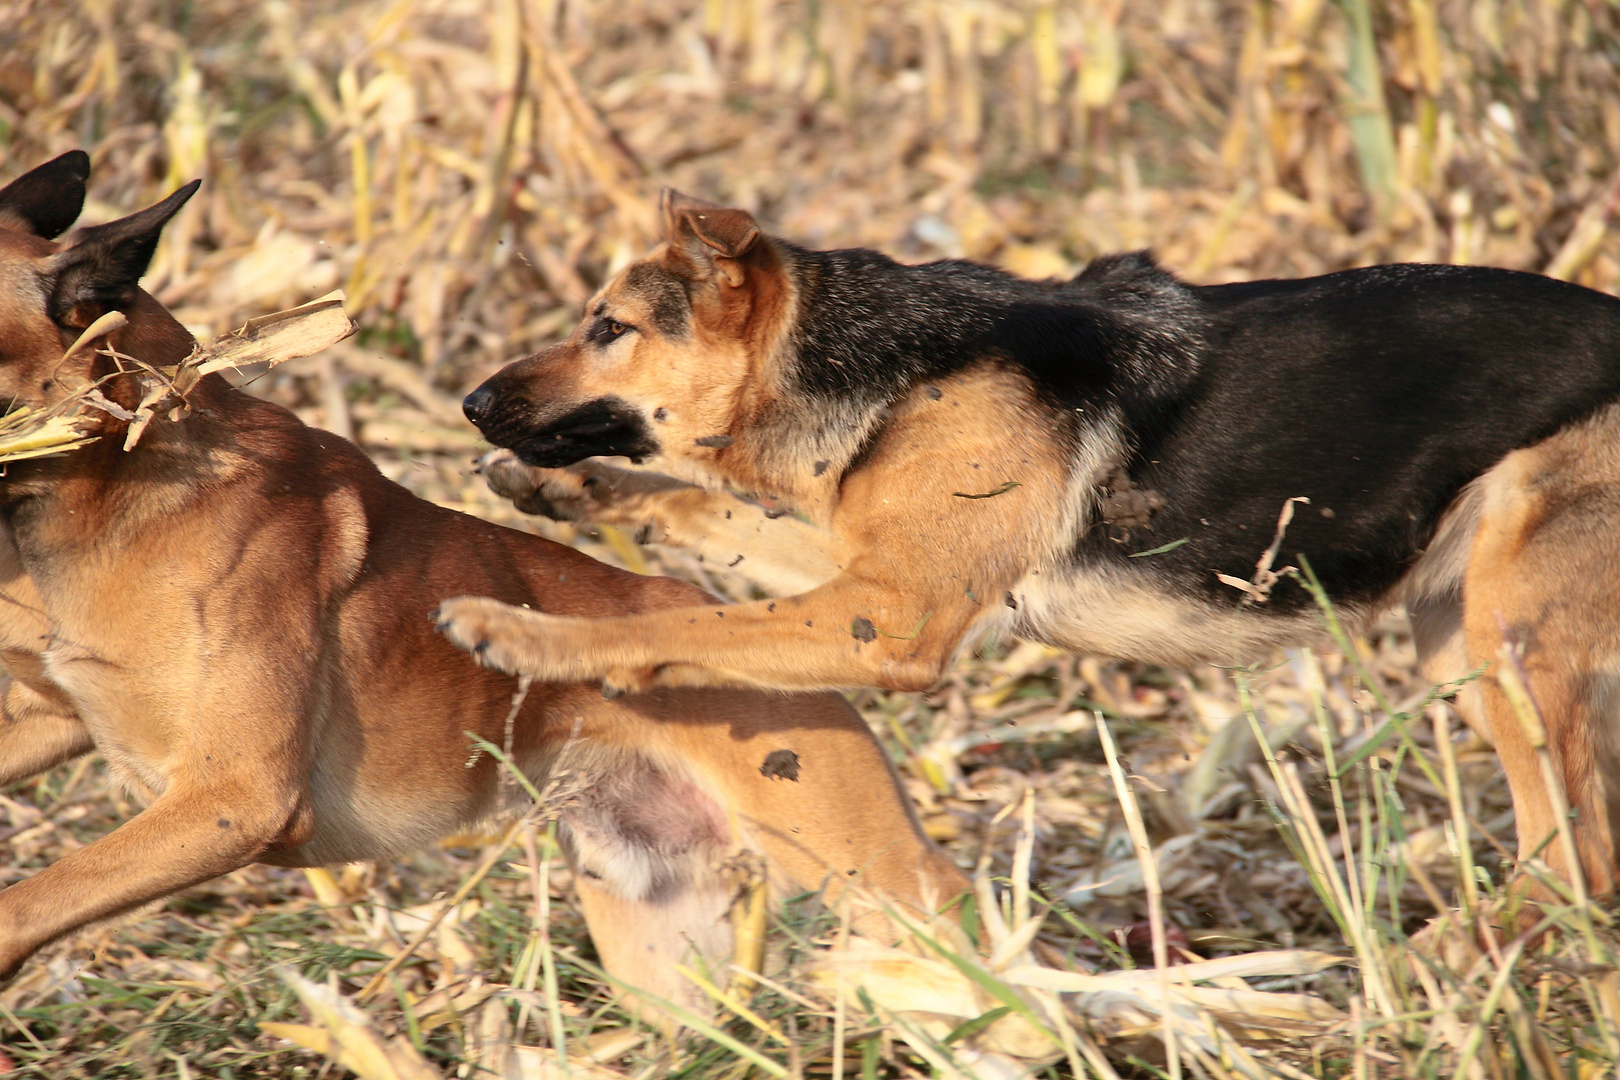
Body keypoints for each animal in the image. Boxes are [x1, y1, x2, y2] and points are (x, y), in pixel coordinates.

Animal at [0, 153, 959, 1003]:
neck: (122, 481)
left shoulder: (234, 798)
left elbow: (31, 901)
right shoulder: (60, 719)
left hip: (876, 880)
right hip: (661, 951)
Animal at [440, 187, 1620, 906]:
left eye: (608, 328)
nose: (470, 403)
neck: (895, 368)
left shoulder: (890, 620)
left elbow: (683, 619)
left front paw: (523, 632)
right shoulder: (869, 573)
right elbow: (694, 516)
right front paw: (569, 490)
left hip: (1507, 645)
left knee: (1582, 859)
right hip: (1467, 652)